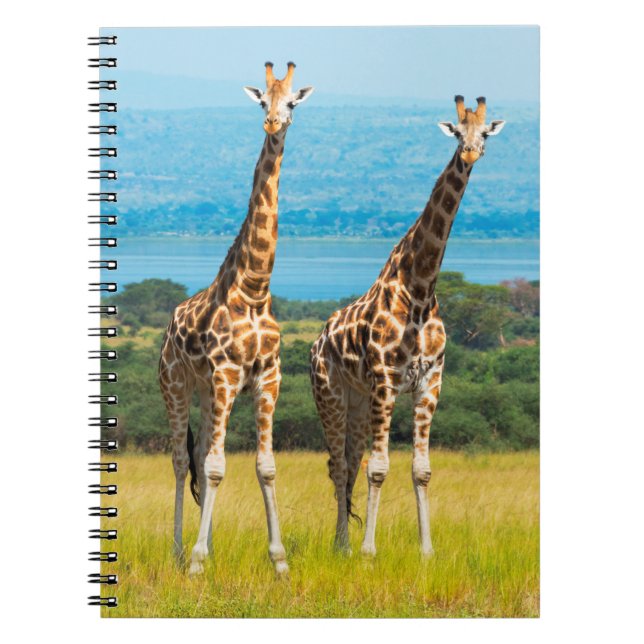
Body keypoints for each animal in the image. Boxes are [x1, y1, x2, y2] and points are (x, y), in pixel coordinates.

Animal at [159, 62, 314, 576]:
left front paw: (280, 562)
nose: (272, 124)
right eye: (262, 100)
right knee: (182, 461)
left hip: (209, 395)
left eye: (291, 102)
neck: (254, 289)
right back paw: (180, 550)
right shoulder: (227, 375)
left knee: (201, 455)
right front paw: (197, 562)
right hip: (177, 385)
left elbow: (264, 467)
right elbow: (214, 467)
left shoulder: (268, 378)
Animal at [310, 96, 505, 556]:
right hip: (331, 394)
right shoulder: (386, 378)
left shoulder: (430, 381)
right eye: (457, 131)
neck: (419, 288)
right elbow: (379, 468)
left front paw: (427, 551)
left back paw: (344, 542)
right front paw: (368, 552)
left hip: (359, 402)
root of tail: (315, 343)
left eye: (485, 133)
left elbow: (421, 469)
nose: (471, 153)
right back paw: (343, 547)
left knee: (349, 462)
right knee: (338, 465)